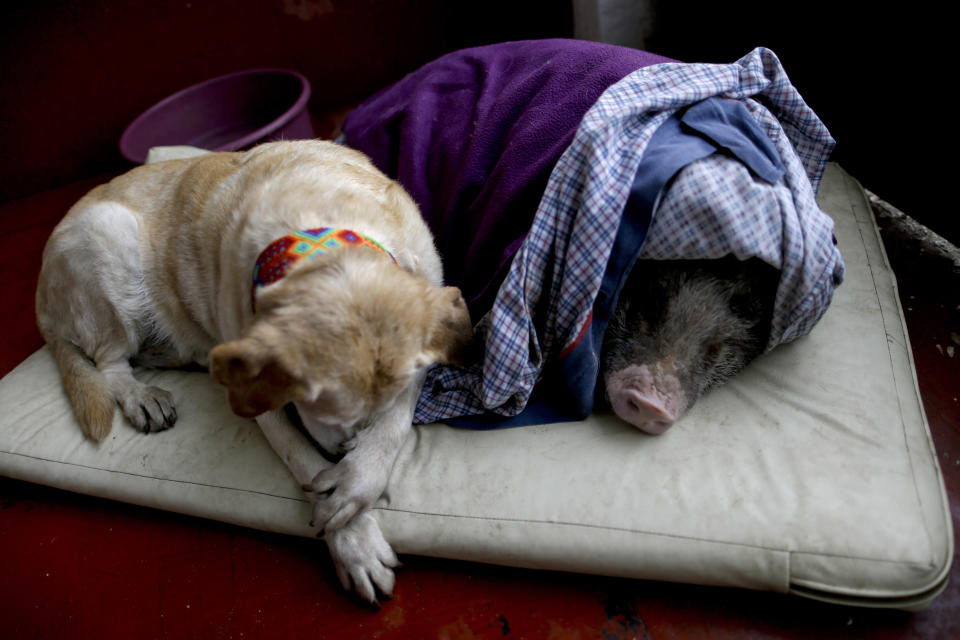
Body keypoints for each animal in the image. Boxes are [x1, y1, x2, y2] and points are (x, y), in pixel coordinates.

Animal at [36, 139, 472, 600]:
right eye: (314, 406)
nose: (341, 453)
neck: (319, 227)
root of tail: (42, 302)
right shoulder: (260, 399)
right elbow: (300, 457)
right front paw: (356, 544)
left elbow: (395, 423)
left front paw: (358, 477)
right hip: (105, 238)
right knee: (110, 364)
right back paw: (142, 394)